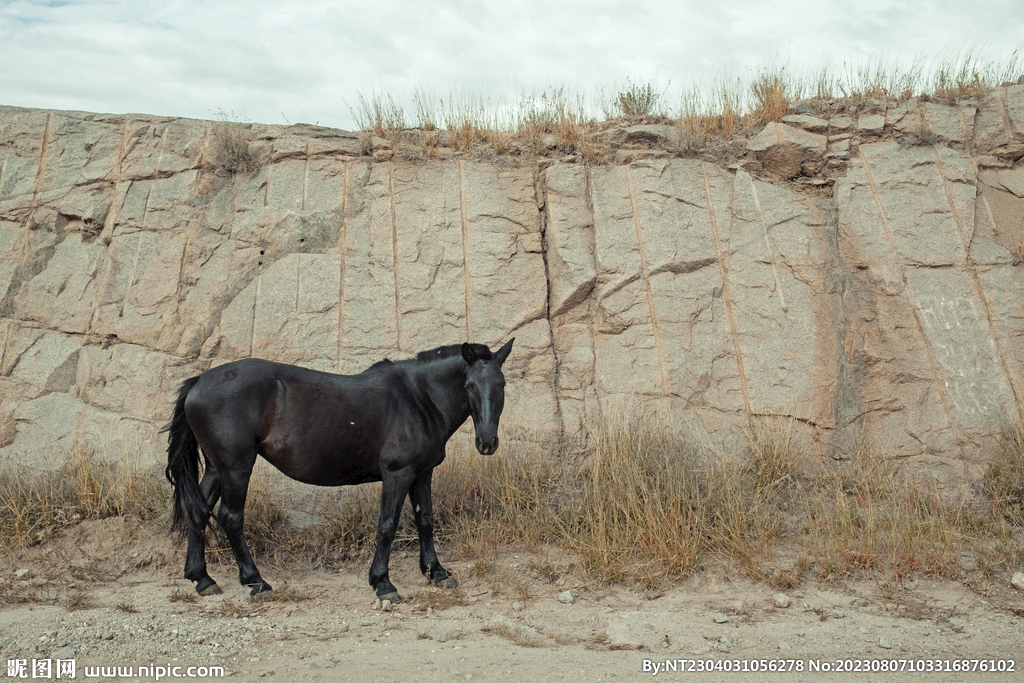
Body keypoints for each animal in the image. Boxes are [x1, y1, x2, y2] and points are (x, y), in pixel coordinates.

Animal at [164, 339, 514, 603]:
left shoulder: (423, 473)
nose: (487, 443)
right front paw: (383, 584)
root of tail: (199, 381)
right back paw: (256, 582)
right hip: (236, 468)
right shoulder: (398, 474)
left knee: (198, 511)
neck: (418, 398)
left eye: (501, 384)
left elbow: (425, 520)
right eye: (469, 385)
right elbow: (388, 525)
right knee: (230, 517)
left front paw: (437, 572)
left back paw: (202, 579)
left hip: (216, 468)